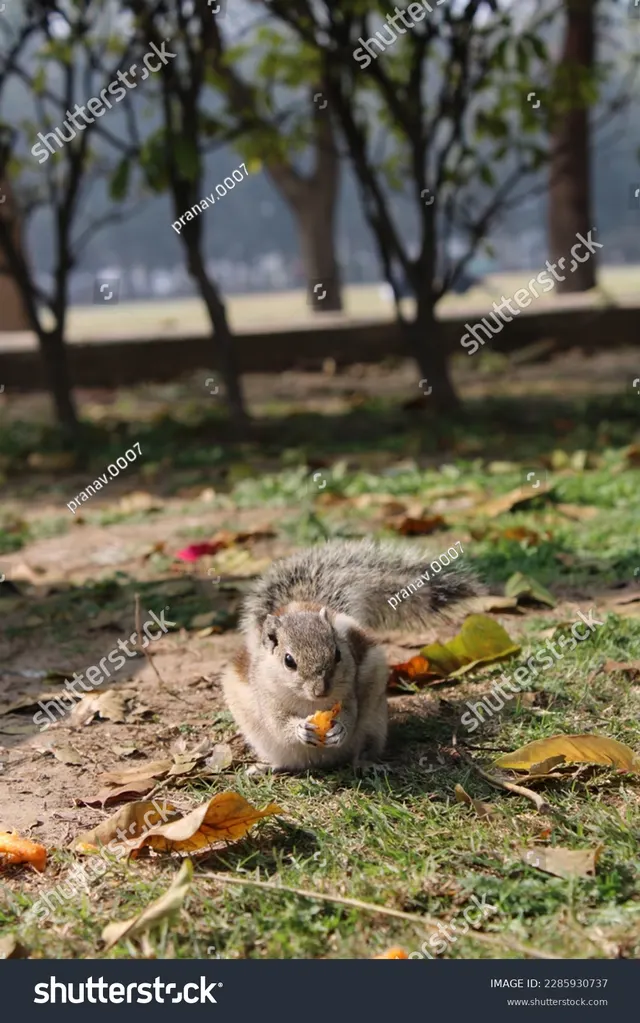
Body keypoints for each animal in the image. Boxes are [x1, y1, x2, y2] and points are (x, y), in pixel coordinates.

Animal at [222, 538, 481, 772]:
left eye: (338, 654)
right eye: (288, 661)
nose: (321, 691)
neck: (310, 703)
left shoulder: (348, 692)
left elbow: (350, 712)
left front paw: (340, 728)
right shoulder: (266, 697)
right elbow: (277, 723)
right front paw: (299, 729)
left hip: (374, 725)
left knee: (362, 749)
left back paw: (366, 764)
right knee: (287, 760)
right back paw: (268, 767)